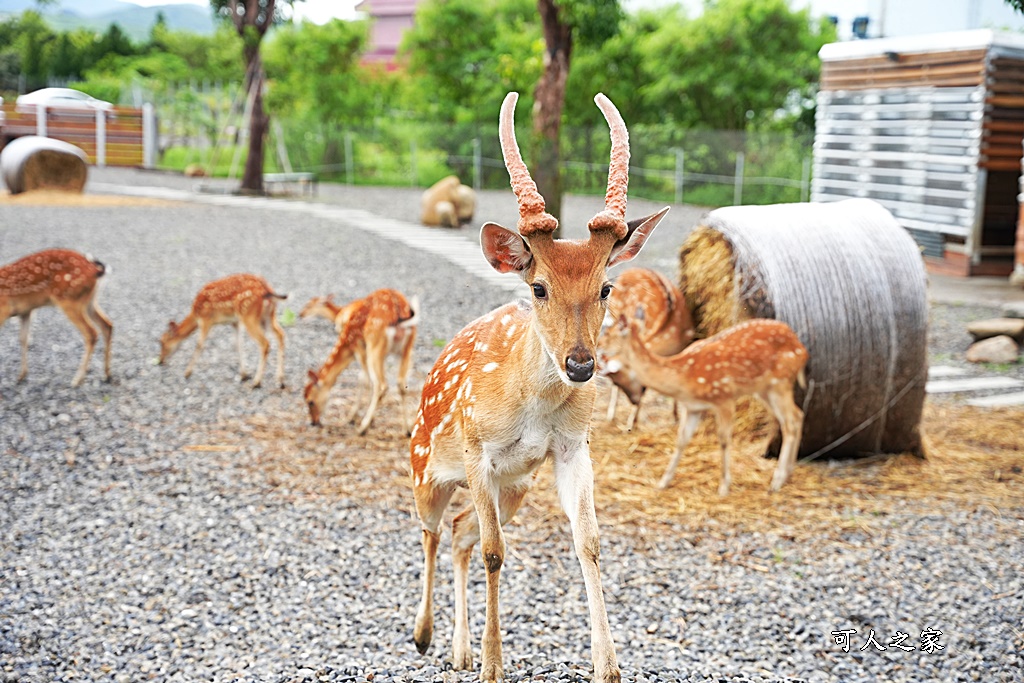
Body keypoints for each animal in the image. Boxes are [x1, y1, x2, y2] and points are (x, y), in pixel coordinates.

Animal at [0, 248, 112, 387]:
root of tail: (95, 269)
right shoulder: (26, 311)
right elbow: (23, 338)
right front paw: (22, 376)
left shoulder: (4, 310)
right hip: (88, 301)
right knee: (107, 325)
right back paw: (107, 375)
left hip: (69, 300)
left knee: (91, 333)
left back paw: (77, 379)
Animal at [159, 274, 288, 389]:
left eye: (162, 342)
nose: (160, 360)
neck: (195, 314)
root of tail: (267, 289)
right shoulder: (234, 322)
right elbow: (238, 345)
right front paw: (244, 375)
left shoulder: (206, 320)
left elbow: (199, 345)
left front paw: (187, 373)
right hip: (268, 316)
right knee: (280, 334)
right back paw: (280, 381)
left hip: (249, 315)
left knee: (265, 343)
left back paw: (257, 382)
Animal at [409, 92, 671, 683]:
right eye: (538, 287)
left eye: (606, 286)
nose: (580, 364)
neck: (531, 406)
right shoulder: (478, 450)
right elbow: (495, 552)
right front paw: (493, 667)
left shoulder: (573, 448)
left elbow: (589, 542)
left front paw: (607, 667)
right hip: (424, 471)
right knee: (432, 530)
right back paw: (423, 635)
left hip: (516, 488)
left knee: (458, 530)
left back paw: (457, 649)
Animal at [598, 313, 806, 493]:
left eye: (606, 333)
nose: (597, 348)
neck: (684, 377)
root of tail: (802, 350)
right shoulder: (692, 408)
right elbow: (681, 440)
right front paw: (663, 482)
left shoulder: (724, 398)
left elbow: (724, 440)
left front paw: (724, 486)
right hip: (764, 390)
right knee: (797, 415)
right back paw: (788, 475)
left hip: (780, 382)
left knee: (790, 422)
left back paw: (777, 481)